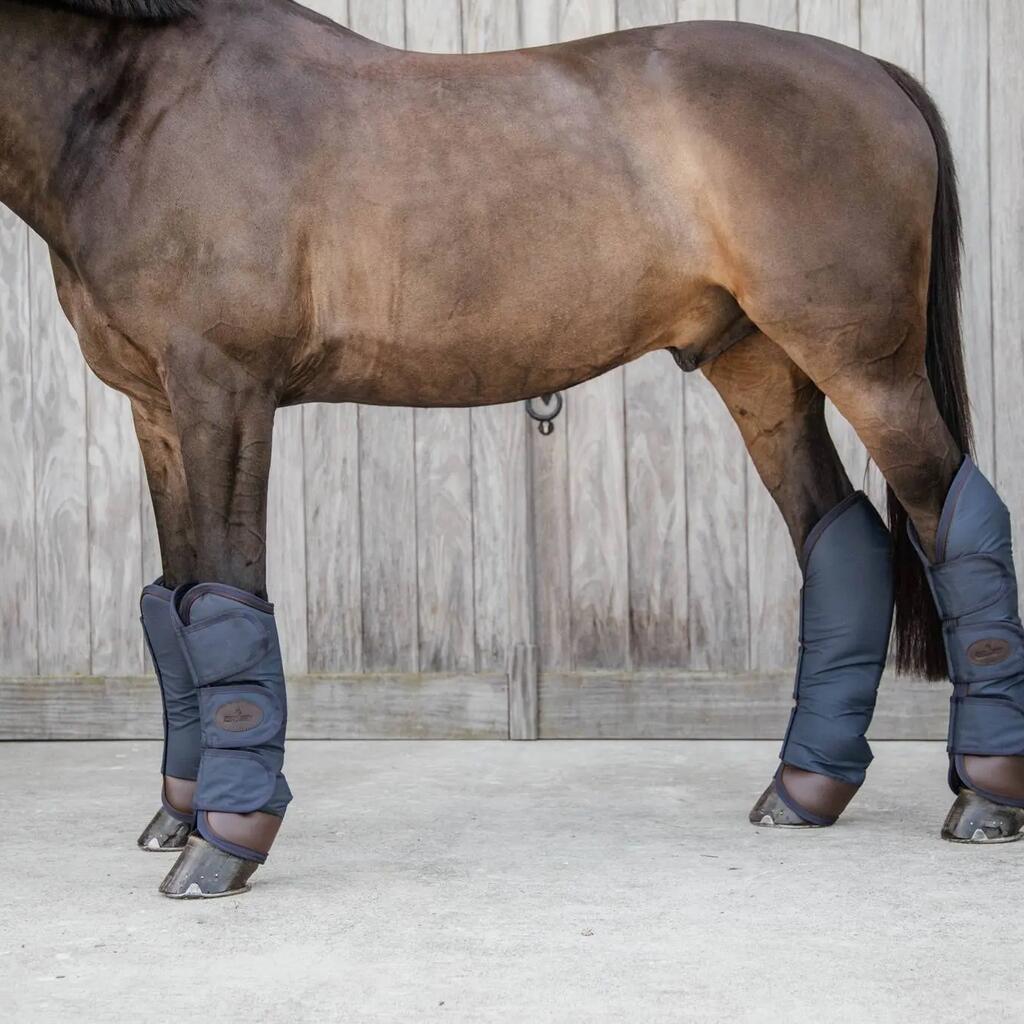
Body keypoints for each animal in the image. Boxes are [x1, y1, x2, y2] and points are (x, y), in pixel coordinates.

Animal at [4, 0, 1023, 898]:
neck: (140, 108)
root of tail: (877, 74)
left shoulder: (225, 394)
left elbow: (225, 598)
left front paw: (222, 845)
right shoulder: (157, 409)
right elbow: (176, 605)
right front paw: (179, 816)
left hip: (867, 368)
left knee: (951, 513)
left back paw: (984, 799)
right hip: (761, 367)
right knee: (838, 533)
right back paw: (804, 790)